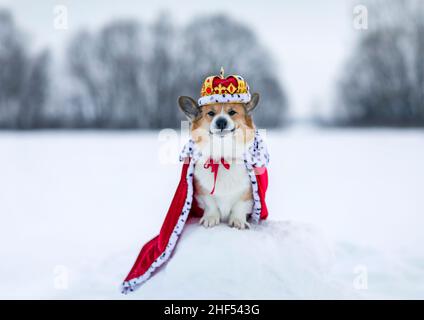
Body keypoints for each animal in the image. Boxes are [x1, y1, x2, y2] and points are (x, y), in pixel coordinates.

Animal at [178, 93, 260, 230]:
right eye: (211, 113)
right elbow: (210, 204)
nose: (221, 121)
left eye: (232, 112)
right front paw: (210, 218)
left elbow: (240, 206)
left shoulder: (247, 192)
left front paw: (238, 220)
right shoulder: (203, 191)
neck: (222, 157)